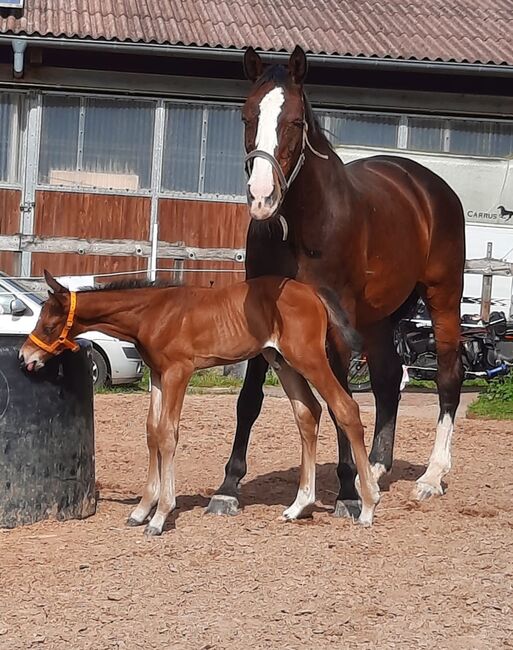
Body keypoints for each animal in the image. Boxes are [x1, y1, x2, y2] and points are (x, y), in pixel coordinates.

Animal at [20, 270, 378, 536]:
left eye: (49, 325)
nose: (25, 357)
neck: (153, 313)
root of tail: (312, 292)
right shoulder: (158, 374)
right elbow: (152, 431)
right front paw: (141, 509)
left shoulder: (179, 371)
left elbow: (168, 434)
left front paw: (160, 516)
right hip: (281, 360)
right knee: (308, 412)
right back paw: (298, 506)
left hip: (308, 357)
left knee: (345, 409)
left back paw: (368, 505)